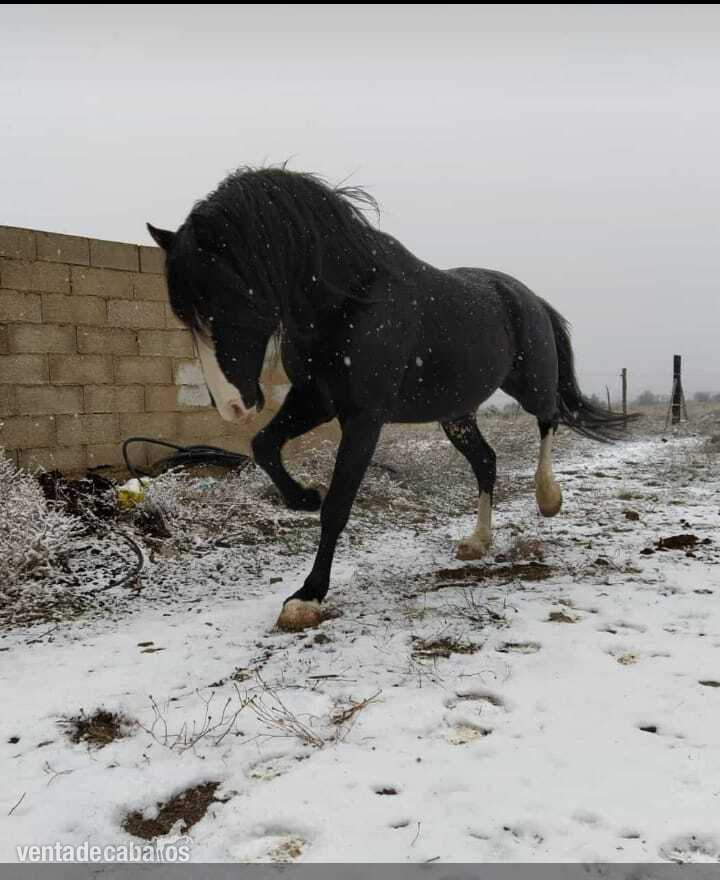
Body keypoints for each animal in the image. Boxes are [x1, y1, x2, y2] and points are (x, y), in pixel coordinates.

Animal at [147, 166, 632, 632]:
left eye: (227, 297)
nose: (232, 406)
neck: (350, 298)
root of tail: (527, 296)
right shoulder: (316, 401)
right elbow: (264, 445)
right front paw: (303, 497)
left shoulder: (364, 417)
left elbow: (338, 505)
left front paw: (307, 598)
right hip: (455, 415)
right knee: (487, 462)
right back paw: (477, 541)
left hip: (529, 386)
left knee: (549, 418)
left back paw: (548, 497)